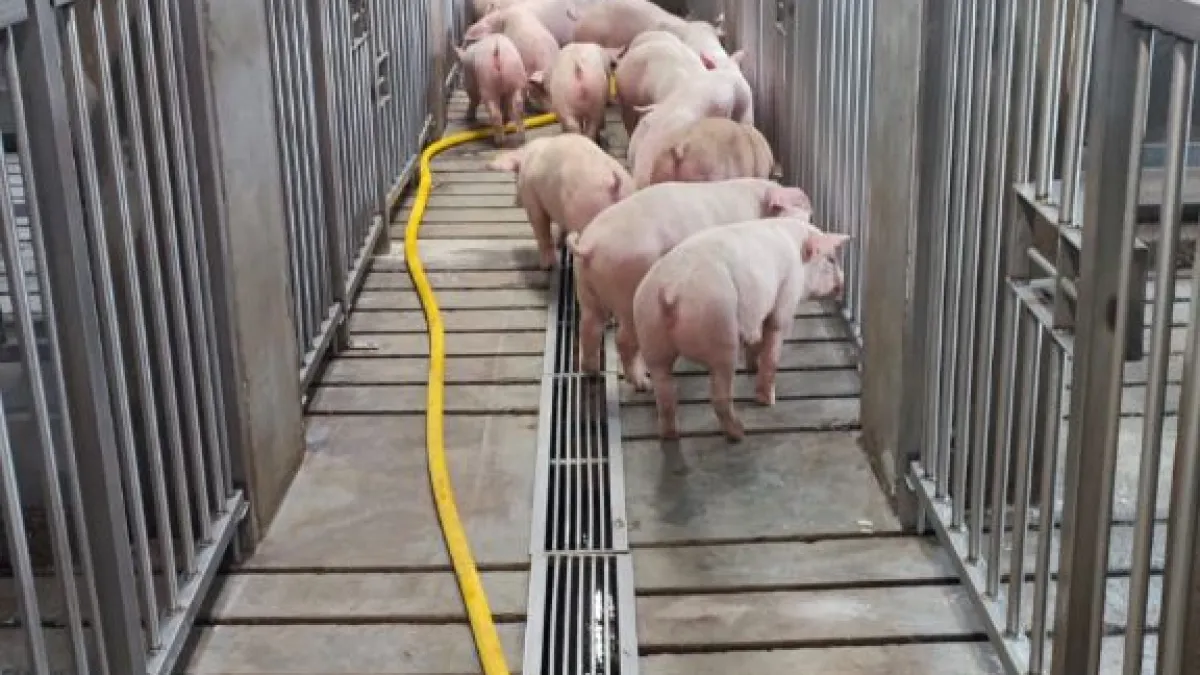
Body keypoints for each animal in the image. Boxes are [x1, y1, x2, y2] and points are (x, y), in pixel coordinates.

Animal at [488, 134, 634, 269]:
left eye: (515, 176)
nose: (515, 203)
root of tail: (613, 184)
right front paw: (559, 244)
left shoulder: (532, 198)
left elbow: (540, 227)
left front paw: (546, 266)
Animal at [564, 178, 812, 391]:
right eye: (800, 209)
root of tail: (590, 246)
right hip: (627, 291)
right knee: (622, 339)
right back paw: (643, 384)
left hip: (586, 289)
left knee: (589, 327)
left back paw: (592, 372)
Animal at [632, 216, 850, 441]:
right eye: (831, 259)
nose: (843, 284)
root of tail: (670, 290)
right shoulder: (787, 293)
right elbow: (774, 338)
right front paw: (767, 401)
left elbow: (757, 339)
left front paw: (753, 366)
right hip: (720, 331)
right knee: (719, 394)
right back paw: (739, 433)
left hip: (649, 329)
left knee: (664, 390)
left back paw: (670, 434)